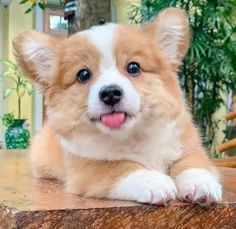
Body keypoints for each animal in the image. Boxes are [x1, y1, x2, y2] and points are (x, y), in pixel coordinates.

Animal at [13, 8, 221, 205]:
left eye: (133, 67)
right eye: (83, 75)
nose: (110, 93)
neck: (133, 135)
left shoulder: (188, 146)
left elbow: (193, 163)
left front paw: (201, 183)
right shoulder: (87, 167)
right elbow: (121, 167)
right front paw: (153, 181)